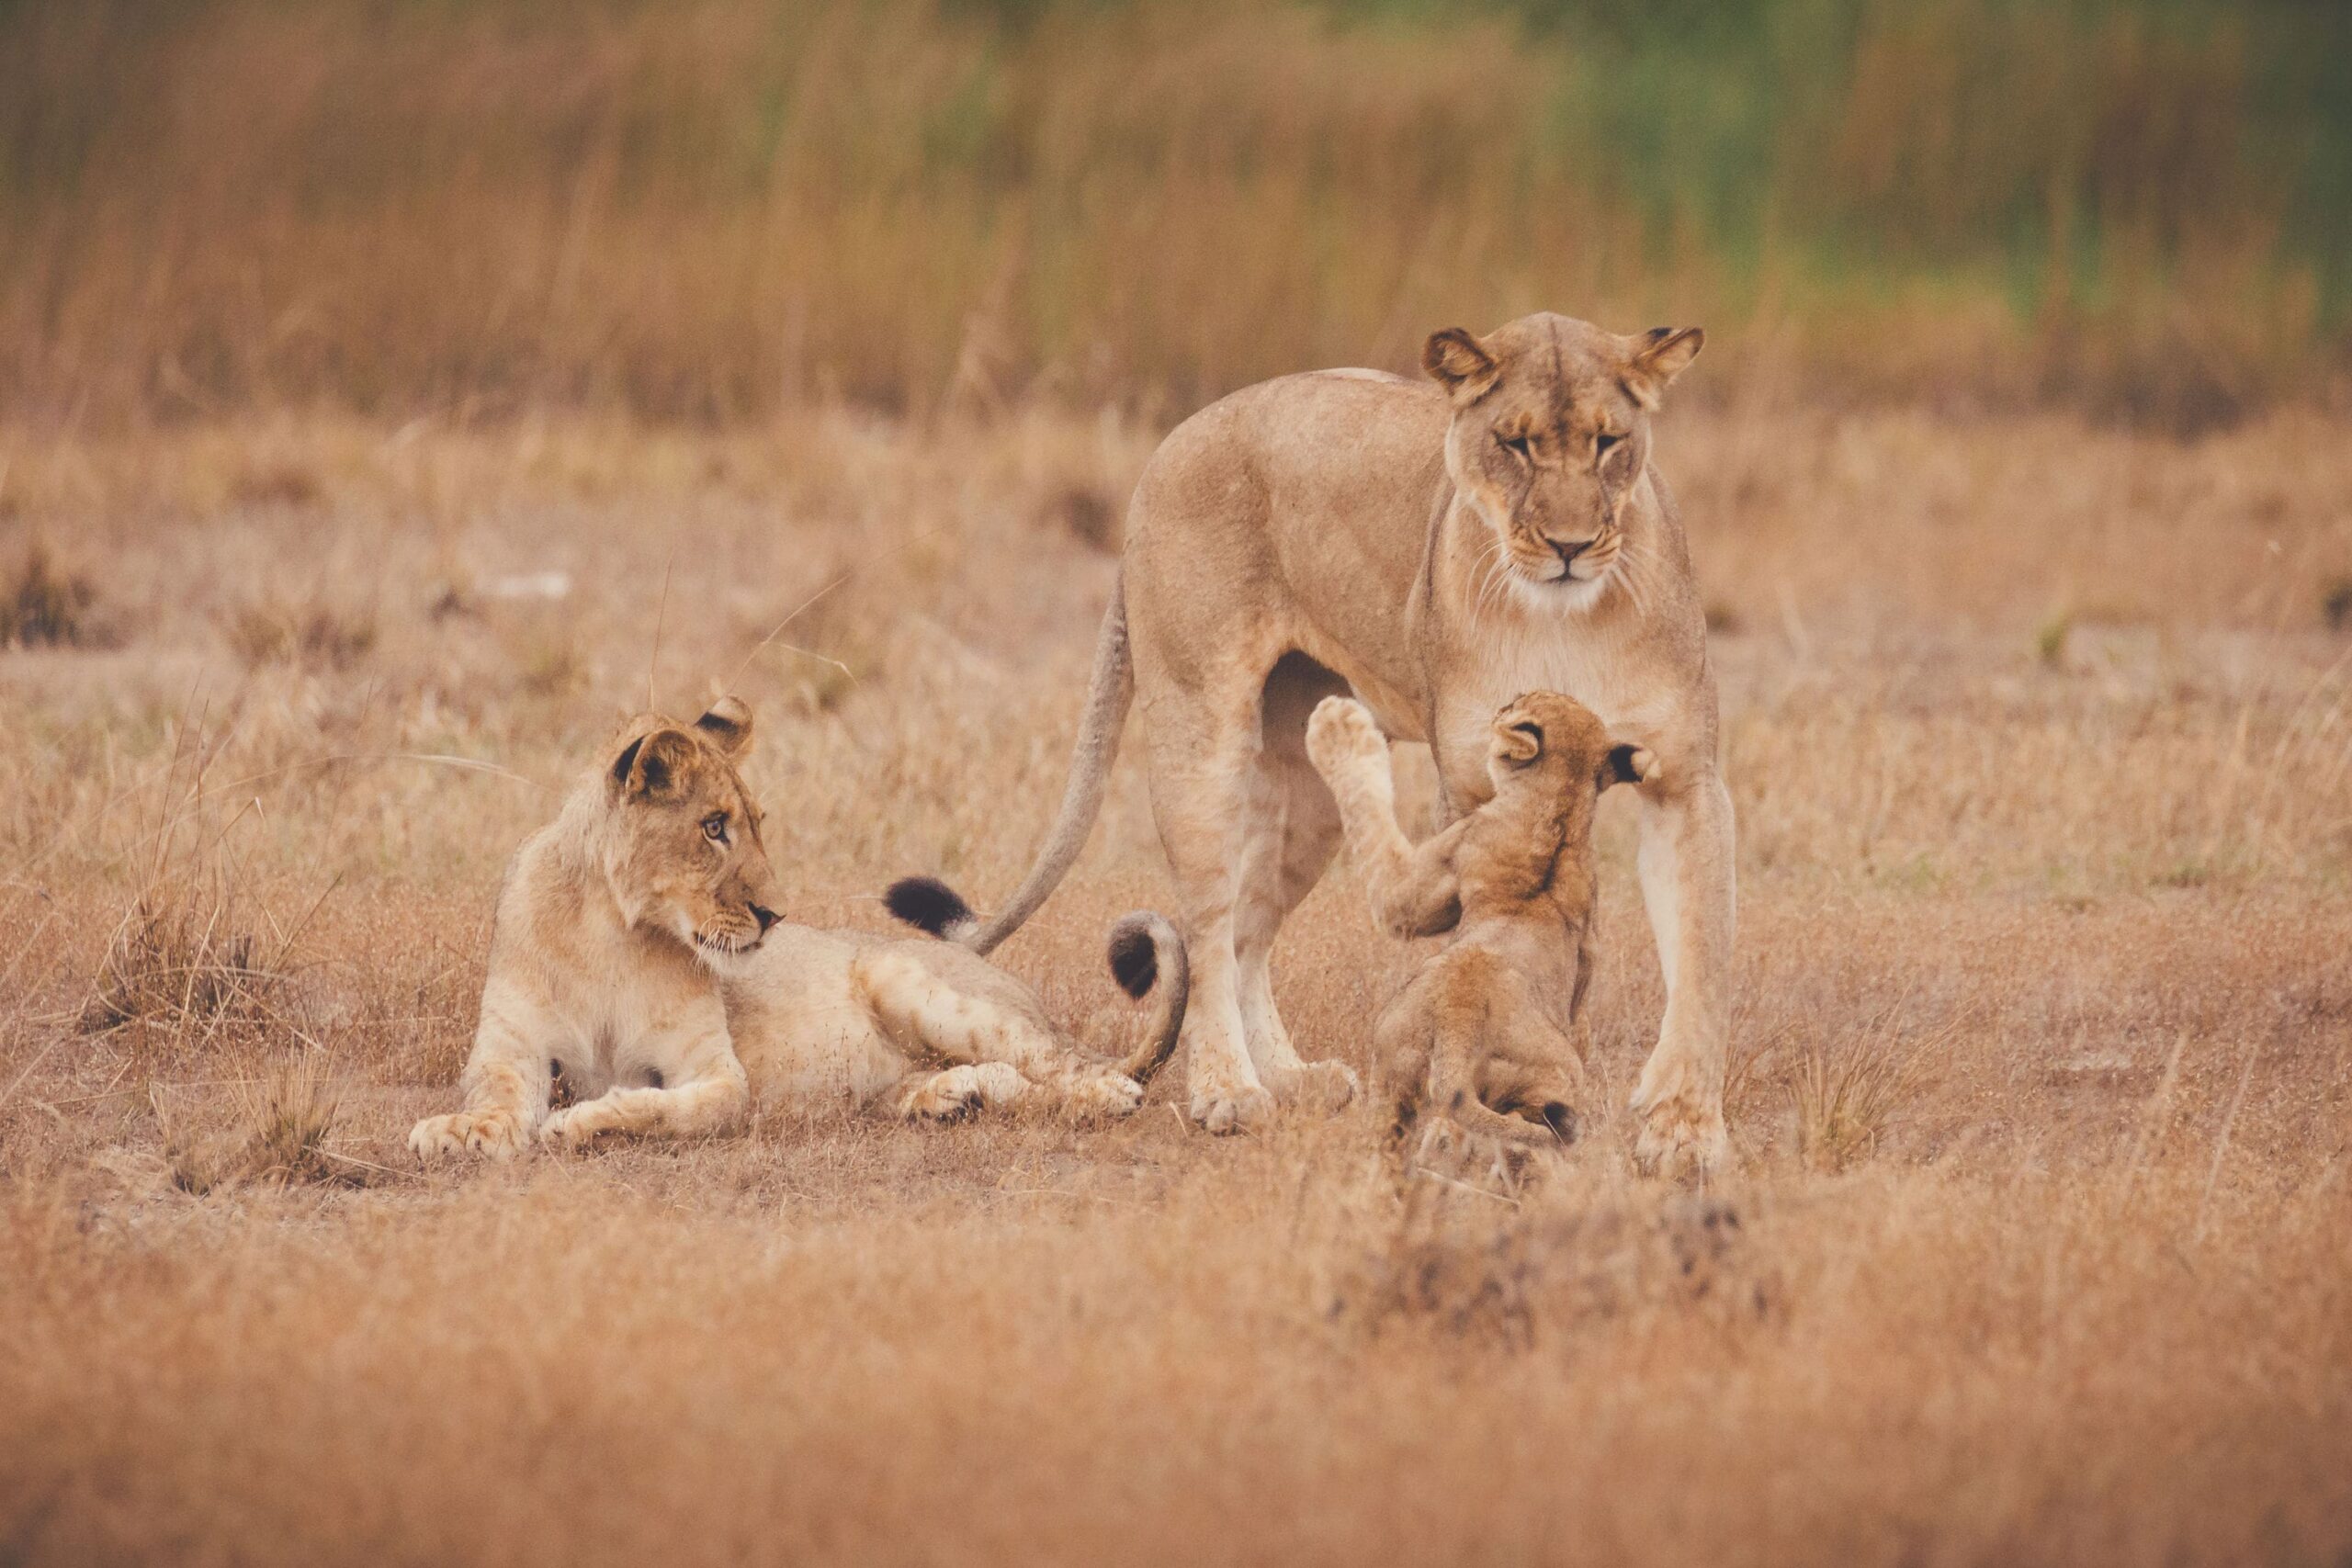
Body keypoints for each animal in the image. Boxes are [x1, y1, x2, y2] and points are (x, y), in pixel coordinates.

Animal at [406, 705, 1185, 1161]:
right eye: (713, 826)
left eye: (753, 823)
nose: (777, 914)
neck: (611, 933)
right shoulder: (512, 1048)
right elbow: (495, 1093)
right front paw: (459, 1131)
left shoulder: (716, 1073)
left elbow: (664, 1107)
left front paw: (582, 1120)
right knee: (1012, 1078)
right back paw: (947, 1097)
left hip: (915, 983)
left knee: (1071, 1066)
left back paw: (1104, 1096)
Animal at [1307, 691, 1656, 1170]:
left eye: (1519, 703)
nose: (1502, 702)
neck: (1561, 805)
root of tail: (1460, 1013)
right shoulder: (1587, 948)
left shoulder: (1427, 877)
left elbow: (1376, 835)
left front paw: (1337, 724)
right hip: (1404, 1070)